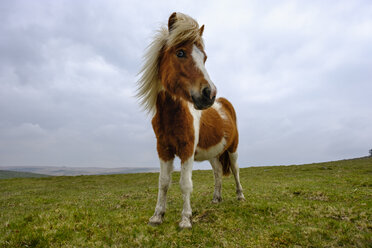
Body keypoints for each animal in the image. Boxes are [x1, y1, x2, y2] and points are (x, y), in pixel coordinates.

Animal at [137, 12, 244, 229]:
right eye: (180, 53)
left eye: (204, 57)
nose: (209, 94)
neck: (173, 116)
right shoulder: (163, 150)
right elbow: (163, 182)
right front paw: (157, 216)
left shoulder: (186, 150)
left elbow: (185, 184)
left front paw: (186, 219)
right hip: (213, 153)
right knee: (217, 173)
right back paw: (216, 198)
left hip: (233, 149)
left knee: (236, 170)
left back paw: (240, 196)